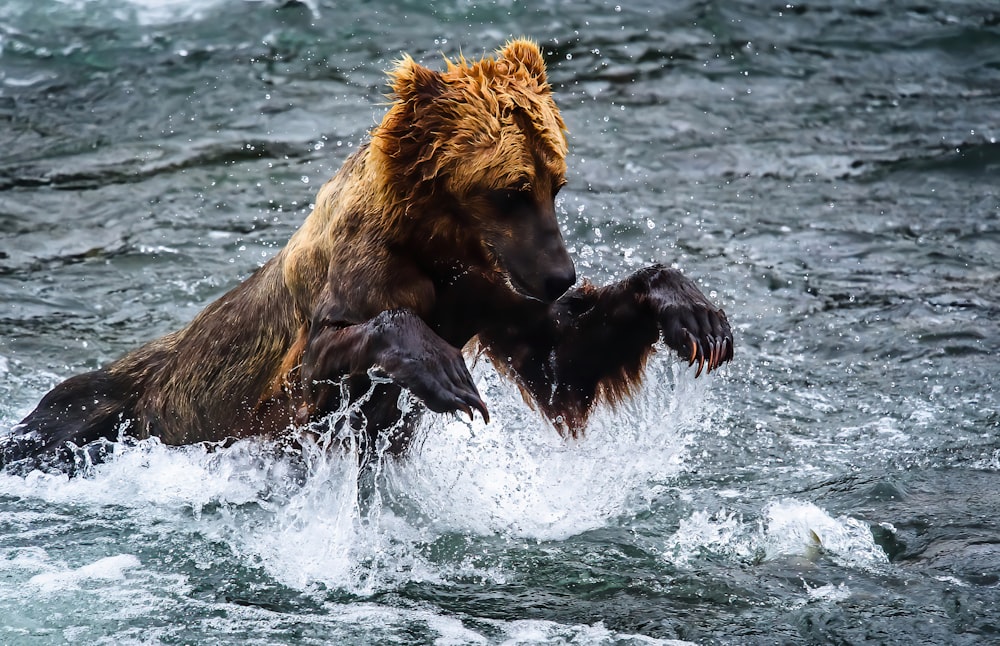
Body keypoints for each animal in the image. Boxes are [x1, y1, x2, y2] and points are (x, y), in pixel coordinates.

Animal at [1, 41, 736, 476]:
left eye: (555, 182)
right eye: (510, 190)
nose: (560, 277)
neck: (436, 241)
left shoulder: (483, 291)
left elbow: (562, 358)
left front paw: (693, 314)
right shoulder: (346, 297)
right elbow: (333, 352)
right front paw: (445, 375)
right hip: (115, 404)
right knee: (60, 419)